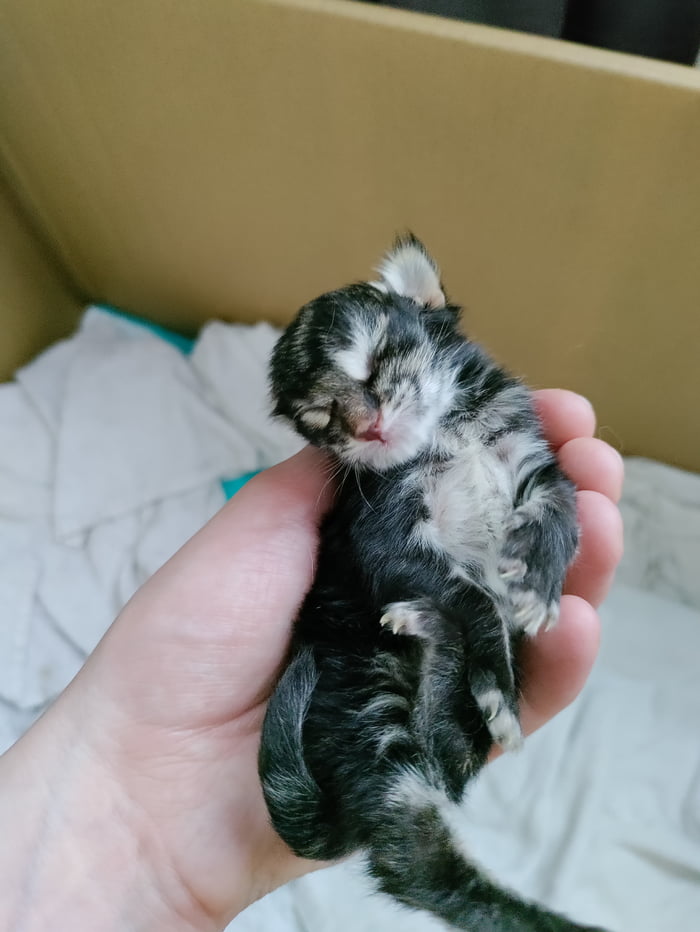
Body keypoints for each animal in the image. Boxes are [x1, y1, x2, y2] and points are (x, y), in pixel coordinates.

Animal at [260, 238, 604, 932]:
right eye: (322, 417)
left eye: (375, 362)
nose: (366, 428)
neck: (450, 433)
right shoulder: (383, 539)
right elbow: (473, 596)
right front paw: (494, 635)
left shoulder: (531, 459)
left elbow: (560, 507)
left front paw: (537, 583)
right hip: (373, 711)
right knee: (419, 867)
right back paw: (448, 648)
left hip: (432, 742)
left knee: (446, 758)